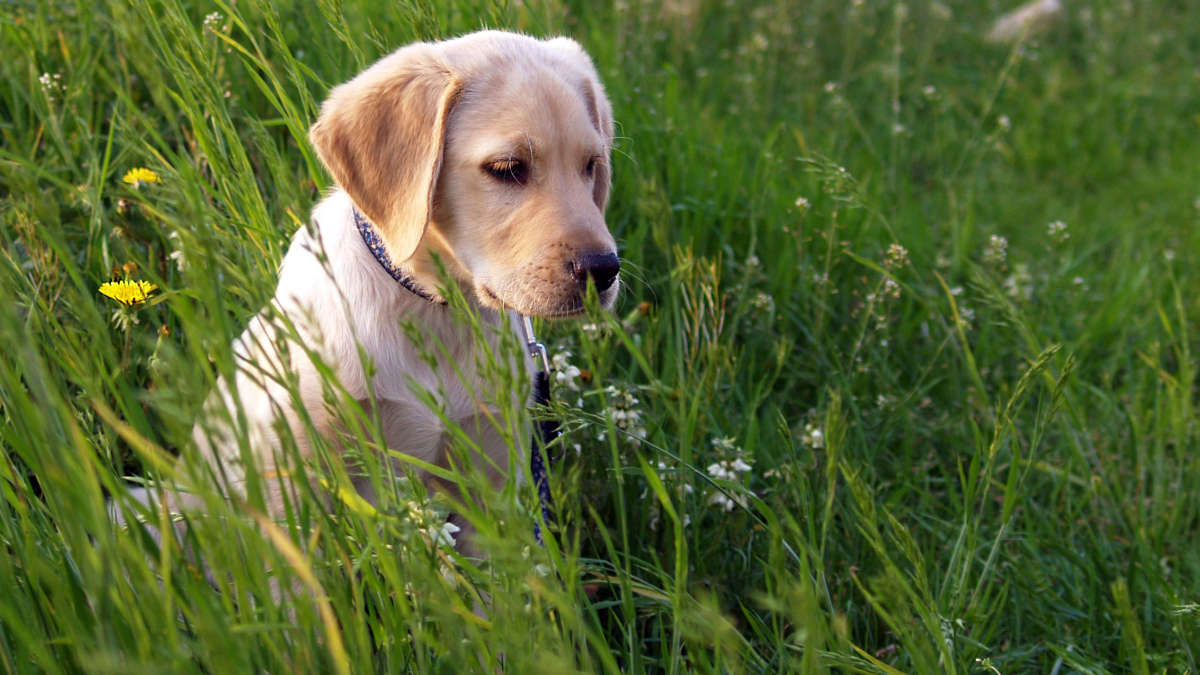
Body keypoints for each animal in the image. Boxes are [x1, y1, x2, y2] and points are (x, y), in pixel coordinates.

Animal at [131, 31, 619, 554]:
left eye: (591, 166)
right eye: (508, 168)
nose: (603, 270)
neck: (434, 310)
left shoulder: (493, 482)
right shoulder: (294, 479)